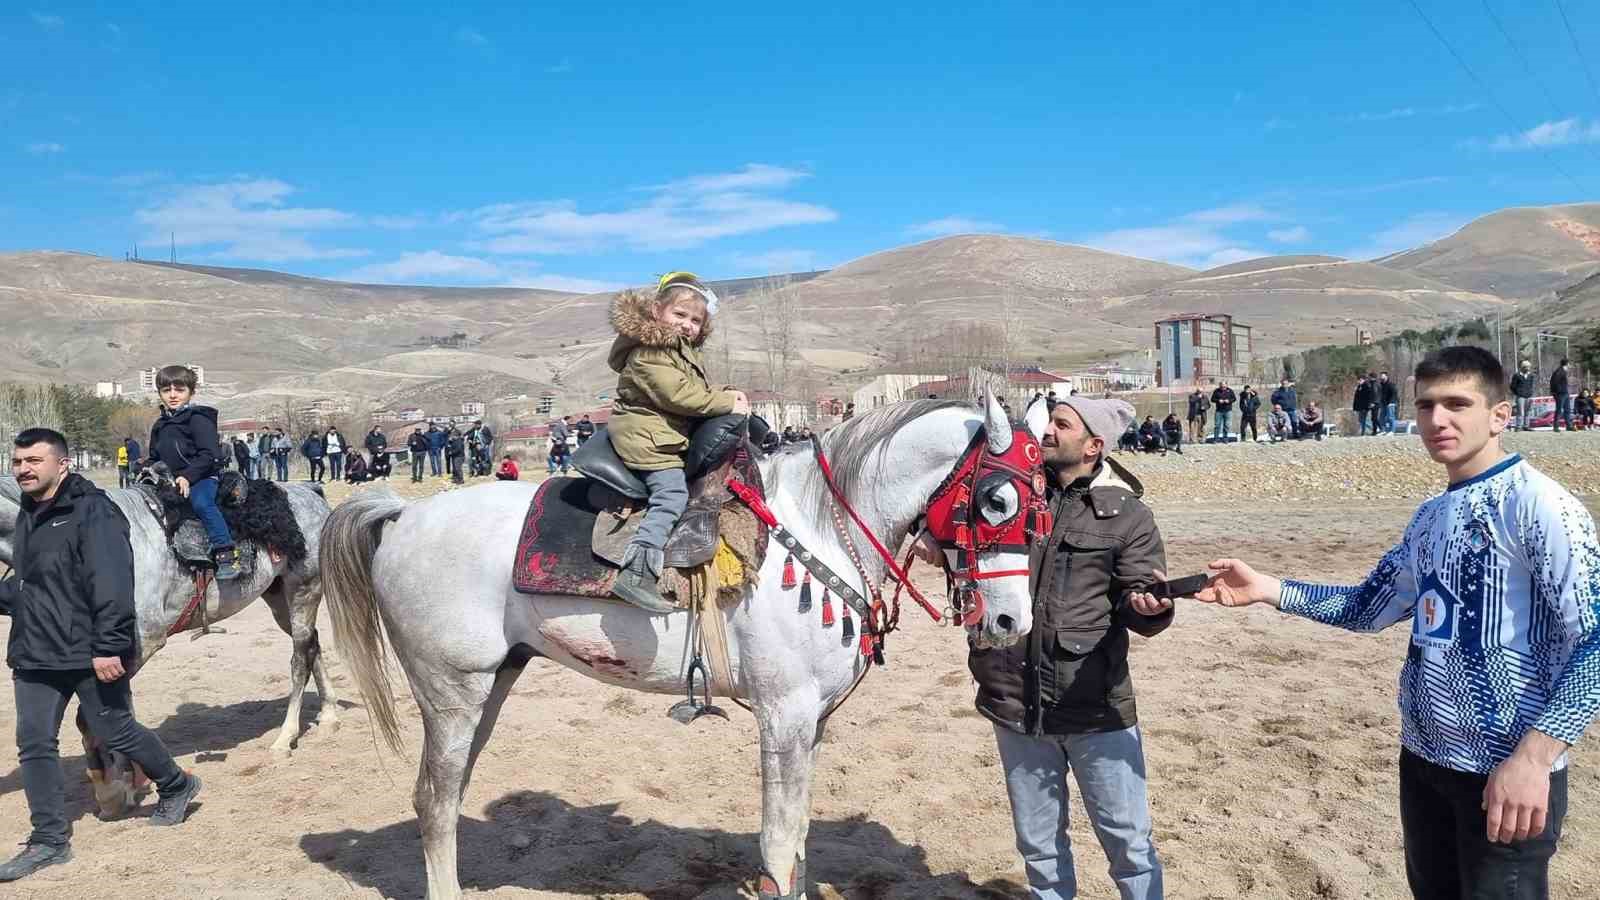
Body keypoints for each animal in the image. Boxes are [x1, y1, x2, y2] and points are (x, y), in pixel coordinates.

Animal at [0, 474, 337, 810]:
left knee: (299, 659)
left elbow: (93, 719)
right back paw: (329, 715)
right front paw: (131, 778)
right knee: (313, 646)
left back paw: (285, 738)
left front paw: (113, 790)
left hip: (303, 591)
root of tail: (309, 491)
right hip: (279, 599)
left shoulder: (140, 645)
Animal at [321, 393, 1049, 896]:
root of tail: (405, 515)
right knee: (434, 800)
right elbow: (778, 839)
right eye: (996, 501)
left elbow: (799, 836)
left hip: (490, 685)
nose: (1010, 622)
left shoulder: (810, 721)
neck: (821, 526)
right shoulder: (784, 714)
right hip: (452, 690)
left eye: (1045, 504)